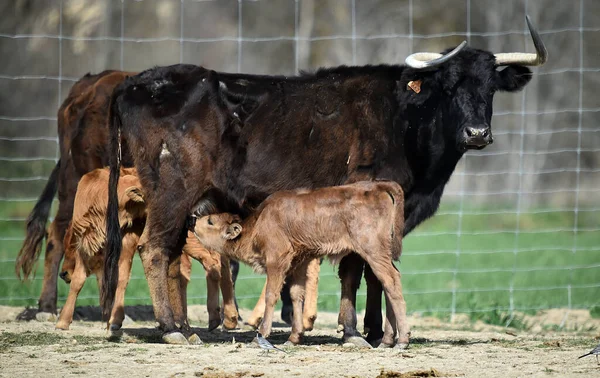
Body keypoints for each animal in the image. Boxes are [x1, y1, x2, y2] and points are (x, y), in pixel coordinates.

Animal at [54, 168, 237, 334]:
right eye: (68, 245)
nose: (63, 273)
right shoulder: (87, 246)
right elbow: (84, 281)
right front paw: (65, 321)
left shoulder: (126, 244)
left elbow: (120, 279)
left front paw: (114, 321)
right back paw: (224, 319)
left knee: (212, 263)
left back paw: (216, 318)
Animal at [190, 180, 410, 348]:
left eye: (210, 221)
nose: (192, 220)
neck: (260, 222)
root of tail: (377, 186)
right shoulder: (299, 263)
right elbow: (296, 294)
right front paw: (294, 337)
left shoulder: (277, 260)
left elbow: (272, 294)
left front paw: (261, 333)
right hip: (381, 254)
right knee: (388, 283)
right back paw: (388, 340)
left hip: (373, 252)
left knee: (391, 281)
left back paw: (402, 341)